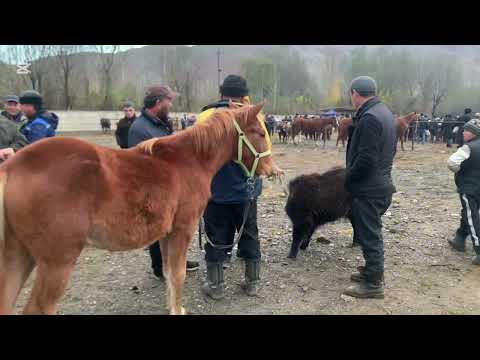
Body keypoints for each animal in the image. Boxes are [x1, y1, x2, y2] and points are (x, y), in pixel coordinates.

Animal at [0, 101, 282, 316]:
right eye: (259, 132)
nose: (271, 170)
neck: (190, 161)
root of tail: (13, 167)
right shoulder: (182, 230)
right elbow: (178, 274)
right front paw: (178, 310)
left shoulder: (167, 234)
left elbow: (168, 272)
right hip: (56, 262)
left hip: (18, 256)